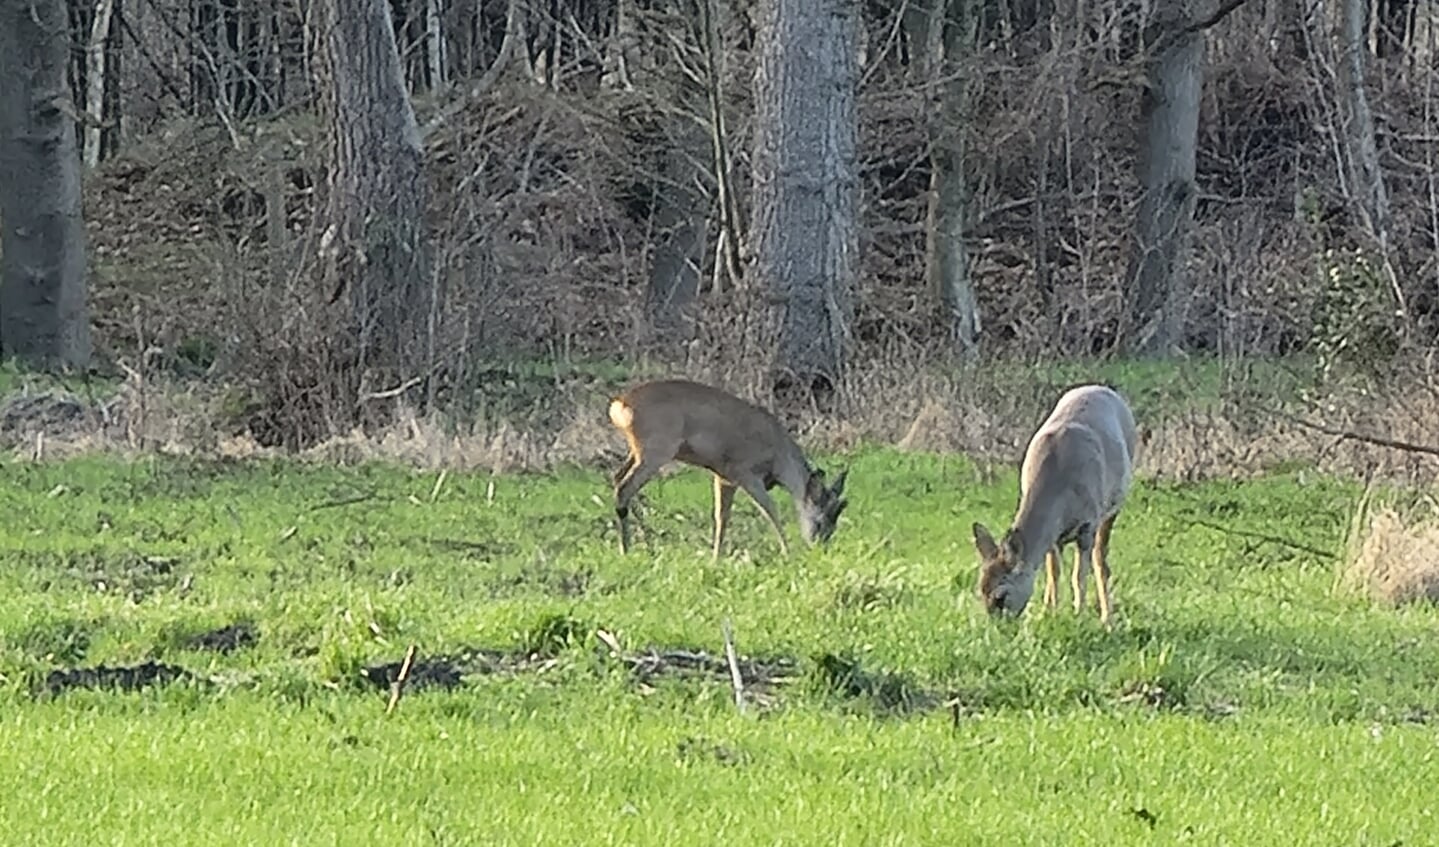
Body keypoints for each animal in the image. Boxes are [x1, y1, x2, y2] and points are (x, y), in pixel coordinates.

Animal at [604, 379, 846, 557]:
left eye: (835, 525)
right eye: (820, 522)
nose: (820, 548)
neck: (779, 459)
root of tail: (619, 405)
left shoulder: (724, 477)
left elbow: (722, 517)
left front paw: (716, 558)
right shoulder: (745, 472)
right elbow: (770, 509)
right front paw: (787, 552)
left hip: (638, 451)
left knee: (617, 479)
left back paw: (643, 544)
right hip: (656, 450)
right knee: (625, 487)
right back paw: (627, 549)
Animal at [972, 385, 1139, 626]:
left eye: (1000, 596)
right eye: (981, 590)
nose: (997, 627)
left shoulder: (1088, 523)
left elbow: (1078, 574)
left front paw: (1079, 613)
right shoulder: (1052, 536)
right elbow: (1053, 573)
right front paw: (1049, 611)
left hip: (1113, 507)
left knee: (1101, 560)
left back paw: (1107, 618)